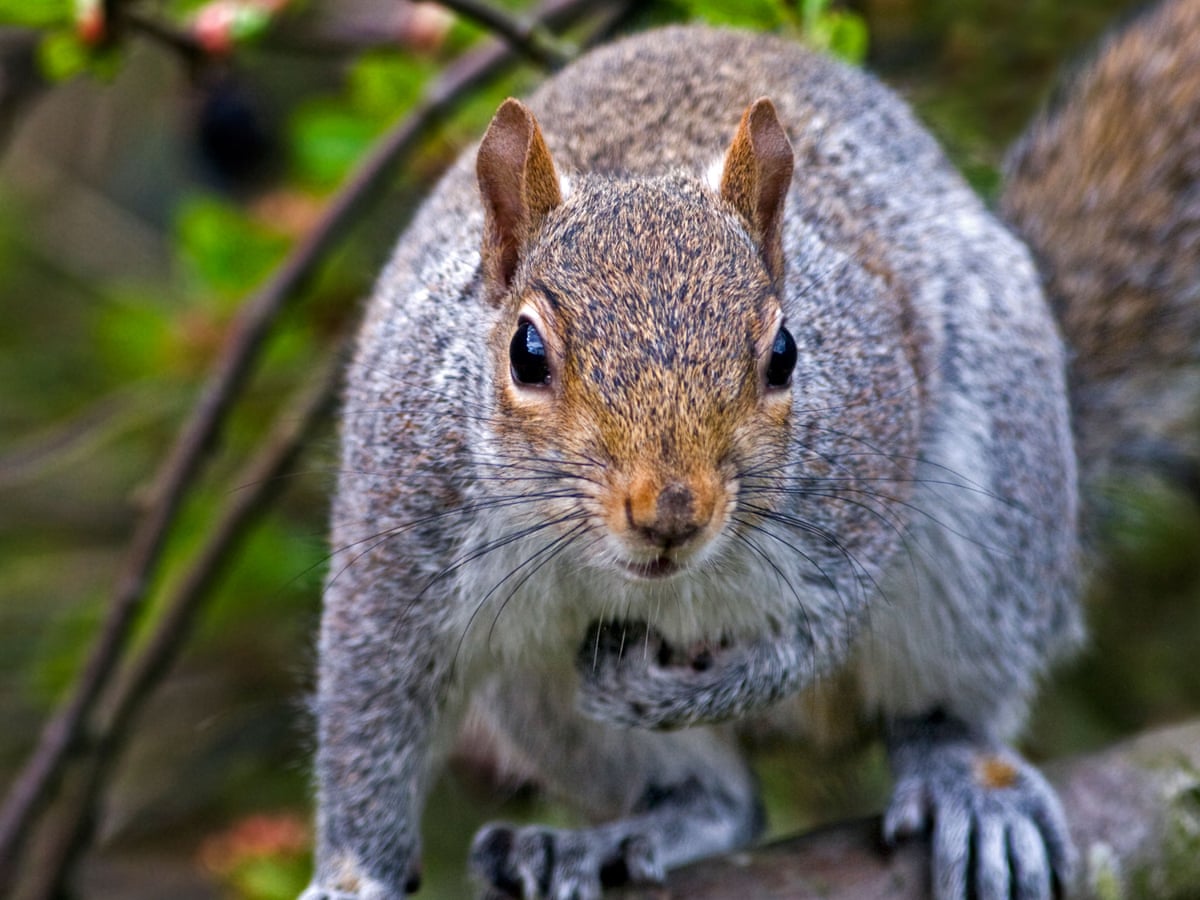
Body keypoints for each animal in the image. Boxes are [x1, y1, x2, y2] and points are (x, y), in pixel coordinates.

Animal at [302, 2, 1200, 899]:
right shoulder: (405, 521)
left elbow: (814, 636)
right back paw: (620, 834)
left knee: (942, 698)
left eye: (785, 354)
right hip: (540, 695)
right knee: (726, 804)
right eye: (526, 354)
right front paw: (353, 876)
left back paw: (964, 776)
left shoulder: (861, 474)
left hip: (992, 527)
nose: (670, 513)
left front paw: (679, 690)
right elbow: (371, 705)